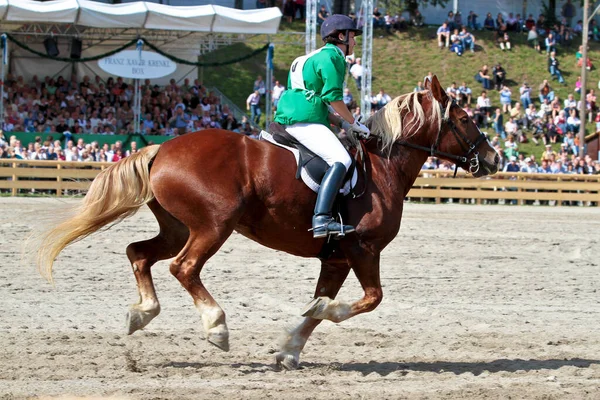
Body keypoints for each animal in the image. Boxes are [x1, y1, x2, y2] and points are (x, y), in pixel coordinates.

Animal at [35, 76, 500, 370]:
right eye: (464, 119)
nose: (494, 158)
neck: (382, 166)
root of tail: (162, 149)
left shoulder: (336, 258)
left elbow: (317, 310)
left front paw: (289, 350)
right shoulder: (364, 250)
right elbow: (369, 300)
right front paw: (319, 315)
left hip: (178, 228)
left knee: (140, 254)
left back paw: (142, 313)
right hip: (213, 227)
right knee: (184, 268)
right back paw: (216, 327)